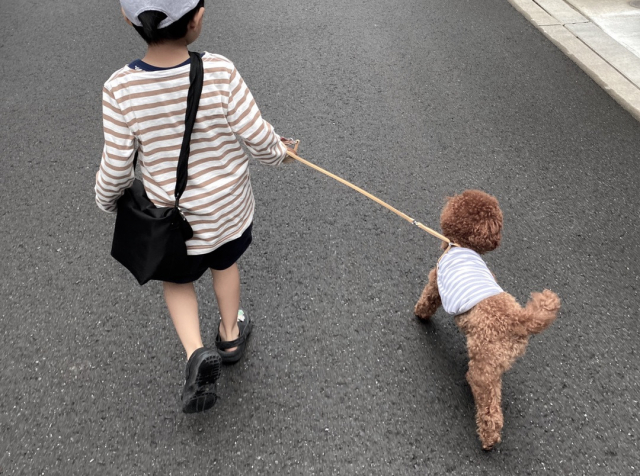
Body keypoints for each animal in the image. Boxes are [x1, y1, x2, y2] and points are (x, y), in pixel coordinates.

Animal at [416, 190, 560, 450]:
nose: (450, 197)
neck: (462, 245)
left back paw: (488, 438)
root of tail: (519, 321)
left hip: (484, 364)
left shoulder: (435, 281)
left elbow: (428, 300)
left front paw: (419, 315)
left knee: (488, 404)